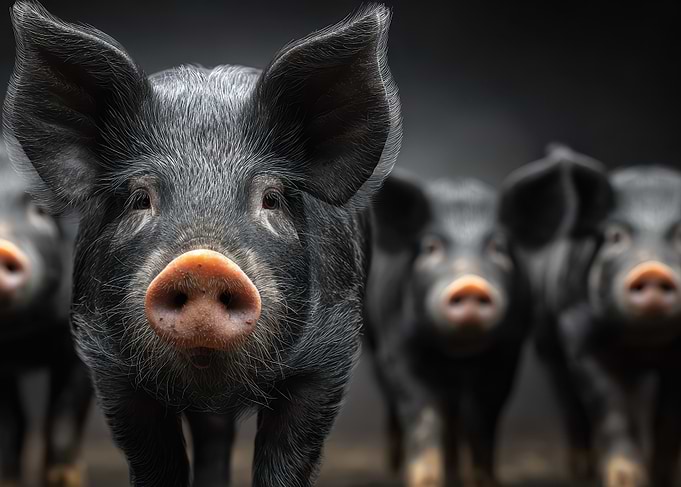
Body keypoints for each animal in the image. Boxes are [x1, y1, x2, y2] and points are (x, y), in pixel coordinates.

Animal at [363, 157, 578, 487]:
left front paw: (484, 481)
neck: (457, 354)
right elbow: (423, 412)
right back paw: (393, 466)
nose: (470, 285)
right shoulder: (397, 346)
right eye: (430, 247)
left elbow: (483, 418)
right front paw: (424, 481)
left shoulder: (507, 353)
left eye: (498, 247)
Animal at [533, 146, 681, 487]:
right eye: (615, 235)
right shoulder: (578, 335)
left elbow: (668, 419)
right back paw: (579, 470)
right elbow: (609, 407)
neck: (644, 343)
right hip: (548, 347)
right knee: (571, 406)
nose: (652, 270)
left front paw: (665, 479)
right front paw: (625, 481)